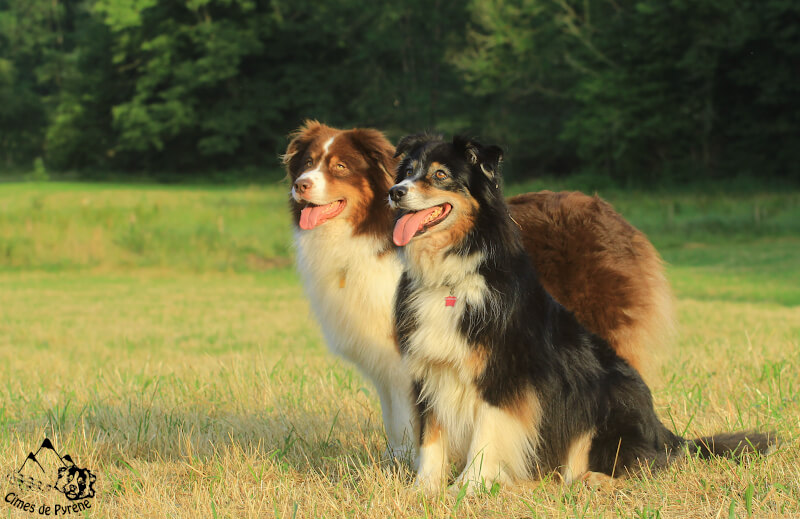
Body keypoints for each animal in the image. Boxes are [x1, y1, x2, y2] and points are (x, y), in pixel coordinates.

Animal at [284, 121, 672, 464]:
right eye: (307, 163)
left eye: (340, 166)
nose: (301, 186)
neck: (369, 233)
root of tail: (616, 217)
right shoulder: (389, 357)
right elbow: (397, 418)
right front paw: (399, 461)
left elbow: (417, 418)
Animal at [388, 133, 776, 492]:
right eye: (407, 172)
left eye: (440, 175)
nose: (394, 192)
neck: (451, 274)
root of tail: (664, 432)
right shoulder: (430, 370)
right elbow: (431, 438)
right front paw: (423, 490)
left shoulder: (504, 375)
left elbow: (487, 435)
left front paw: (468, 488)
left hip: (611, 396)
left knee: (649, 464)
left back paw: (595, 479)